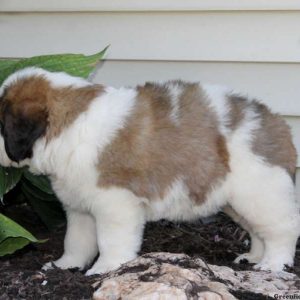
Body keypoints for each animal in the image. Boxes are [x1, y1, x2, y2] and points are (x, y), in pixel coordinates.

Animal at [0, 67, 300, 274]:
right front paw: (65, 265)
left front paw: (105, 268)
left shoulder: (115, 203)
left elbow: (111, 240)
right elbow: (76, 240)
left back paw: (273, 264)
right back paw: (254, 257)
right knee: (258, 230)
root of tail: (277, 123)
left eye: (1, 126)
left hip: (260, 193)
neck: (70, 128)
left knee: (282, 229)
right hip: (239, 201)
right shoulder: (80, 207)